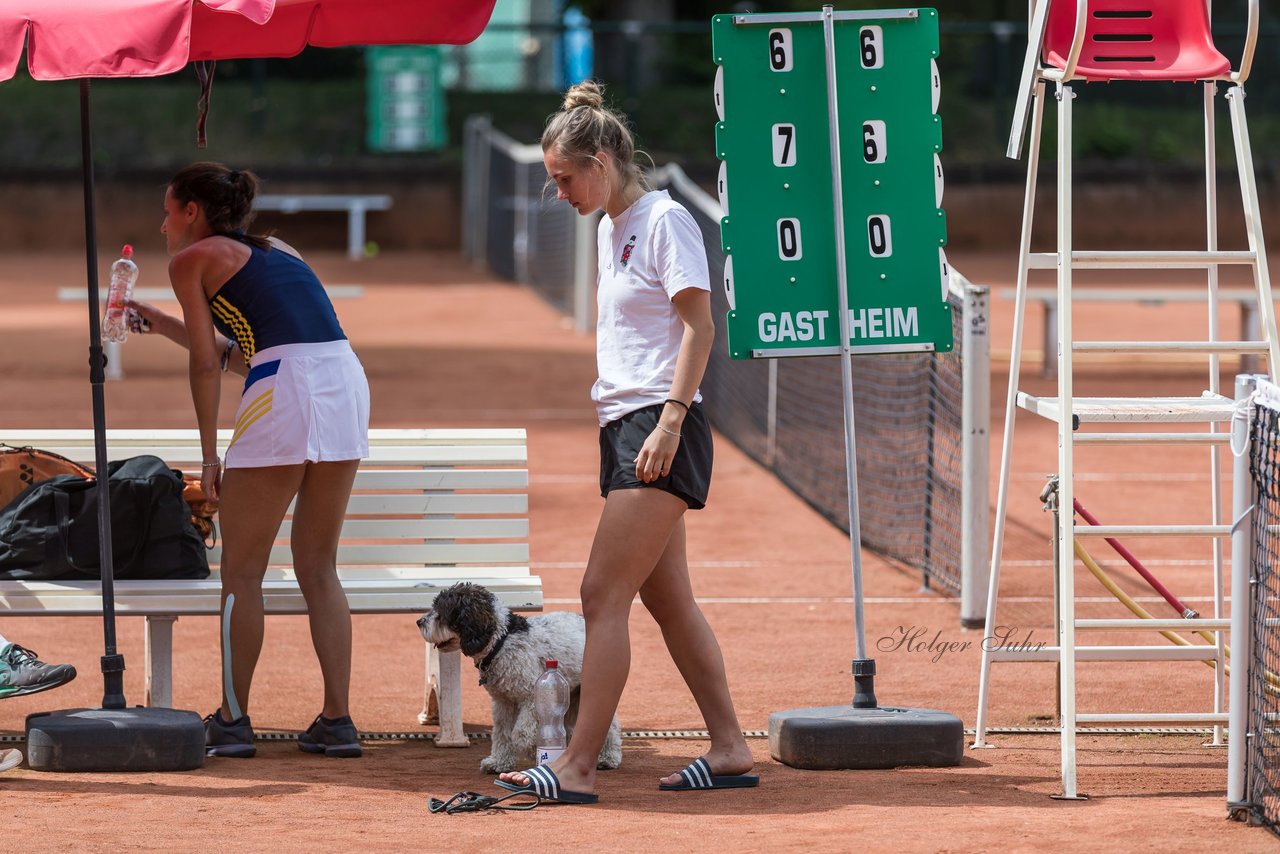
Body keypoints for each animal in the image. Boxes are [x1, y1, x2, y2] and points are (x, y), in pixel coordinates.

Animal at [417, 581, 622, 773]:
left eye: (442, 612)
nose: (419, 622)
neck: (501, 641)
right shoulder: (503, 703)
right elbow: (502, 734)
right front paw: (499, 762)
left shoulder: (531, 699)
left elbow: (520, 734)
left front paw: (536, 752)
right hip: (572, 694)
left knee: (610, 725)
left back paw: (608, 757)